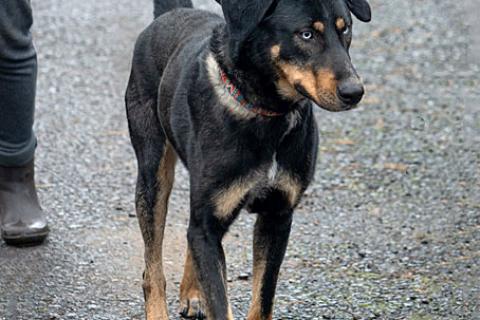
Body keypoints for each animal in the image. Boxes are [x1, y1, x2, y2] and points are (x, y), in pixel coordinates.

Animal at [124, 0, 372, 318]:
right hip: (152, 175)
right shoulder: (209, 223)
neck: (268, 114)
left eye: (346, 29)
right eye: (306, 34)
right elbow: (219, 299)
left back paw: (192, 292)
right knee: (153, 264)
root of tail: (173, 13)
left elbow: (263, 298)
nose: (355, 92)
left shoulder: (277, 216)